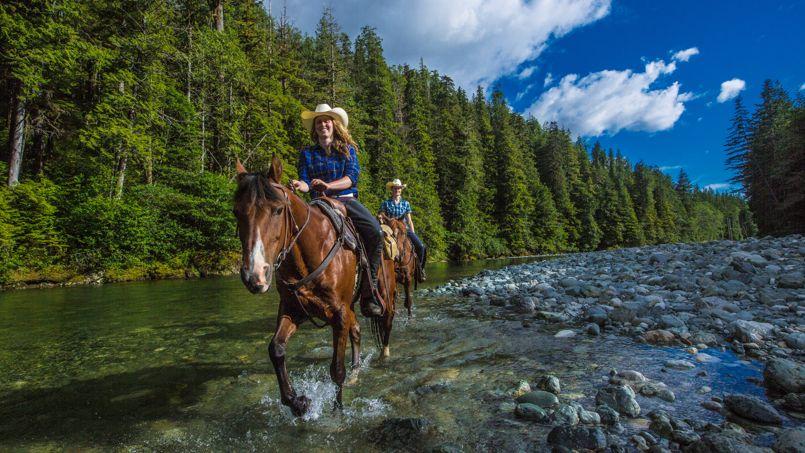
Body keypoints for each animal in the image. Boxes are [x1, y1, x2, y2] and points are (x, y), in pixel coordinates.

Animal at [231, 156, 394, 416]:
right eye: (236, 212)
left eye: (278, 210)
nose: (254, 275)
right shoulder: (293, 309)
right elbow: (276, 349)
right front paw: (298, 402)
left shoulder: (339, 314)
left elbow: (336, 370)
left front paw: (337, 410)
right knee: (357, 331)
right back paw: (356, 371)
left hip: (385, 296)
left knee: (385, 322)